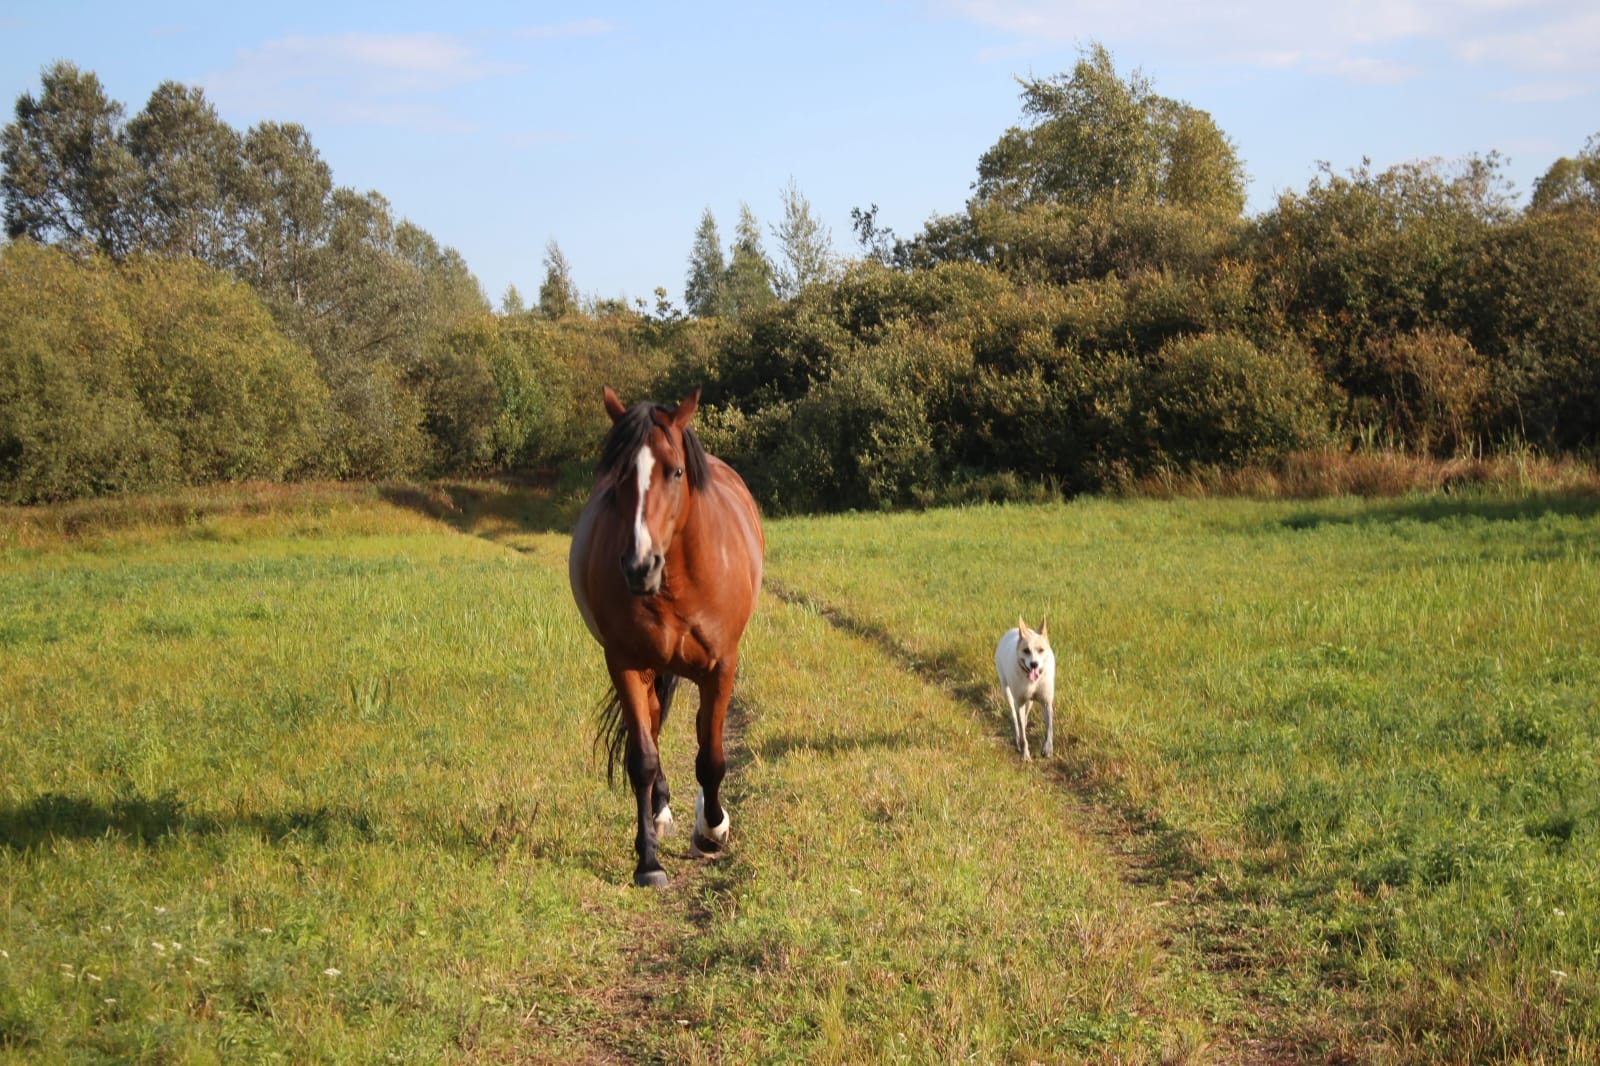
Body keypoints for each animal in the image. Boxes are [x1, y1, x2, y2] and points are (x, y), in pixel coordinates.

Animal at [568, 386, 765, 887]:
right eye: (618, 476)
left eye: (675, 471)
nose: (639, 565)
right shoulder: (625, 663)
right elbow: (642, 758)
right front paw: (648, 861)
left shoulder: (722, 667)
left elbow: (711, 756)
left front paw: (712, 831)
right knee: (655, 729)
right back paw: (658, 814)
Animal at [995, 615, 1056, 761]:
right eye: (1026, 650)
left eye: (1041, 650)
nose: (1034, 664)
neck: (1032, 681)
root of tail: (1012, 630)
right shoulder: (1020, 702)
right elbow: (1023, 733)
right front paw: (1025, 753)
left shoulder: (1046, 701)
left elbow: (1049, 728)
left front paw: (1048, 749)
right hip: (1006, 690)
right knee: (1014, 715)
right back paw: (1017, 737)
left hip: (1030, 701)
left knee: (1026, 714)